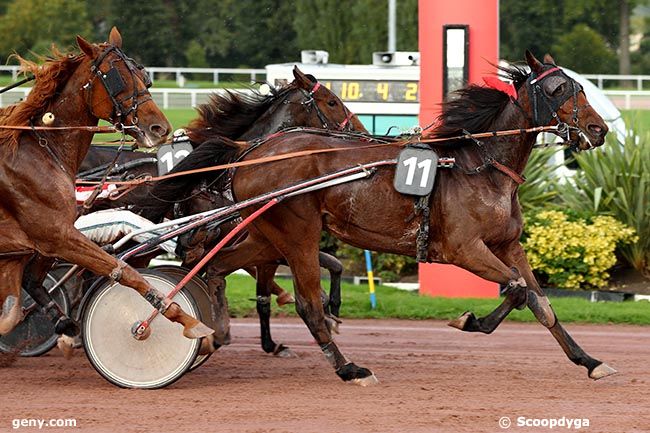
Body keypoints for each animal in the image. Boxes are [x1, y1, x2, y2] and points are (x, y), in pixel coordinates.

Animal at [0, 27, 213, 340]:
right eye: (116, 77)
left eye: (143, 75)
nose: (159, 128)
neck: (39, 151)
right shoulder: (56, 235)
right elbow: (123, 269)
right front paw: (180, 316)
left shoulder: (46, 239)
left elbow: (20, 300)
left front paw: (63, 323)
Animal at [157, 51, 612, 384]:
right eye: (556, 88)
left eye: (579, 86)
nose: (598, 129)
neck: (481, 166)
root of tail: (251, 152)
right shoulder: (463, 249)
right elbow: (518, 291)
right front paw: (469, 320)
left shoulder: (508, 245)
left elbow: (541, 302)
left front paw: (589, 360)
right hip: (297, 233)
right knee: (307, 303)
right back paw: (348, 368)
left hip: (266, 236)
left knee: (215, 267)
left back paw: (211, 336)